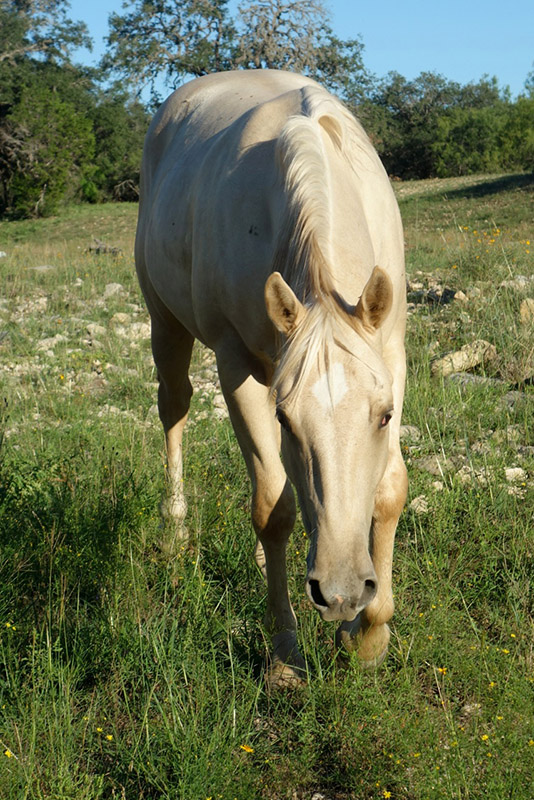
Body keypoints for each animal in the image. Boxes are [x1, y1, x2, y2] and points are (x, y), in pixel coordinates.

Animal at [136, 69, 408, 684]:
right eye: (286, 420)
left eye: (384, 416)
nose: (341, 592)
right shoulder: (236, 364)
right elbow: (273, 508)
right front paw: (284, 652)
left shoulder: (393, 350)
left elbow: (388, 491)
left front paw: (369, 636)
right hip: (167, 326)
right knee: (175, 409)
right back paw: (177, 528)